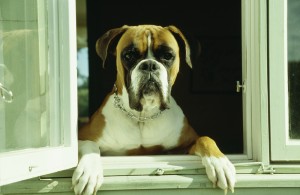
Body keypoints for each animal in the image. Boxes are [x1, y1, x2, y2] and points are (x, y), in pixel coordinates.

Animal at [71, 24, 236, 195]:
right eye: (129, 55)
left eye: (167, 55)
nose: (149, 65)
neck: (143, 115)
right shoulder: (82, 137)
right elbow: (90, 145)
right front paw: (89, 172)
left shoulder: (185, 145)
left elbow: (205, 139)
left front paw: (220, 163)